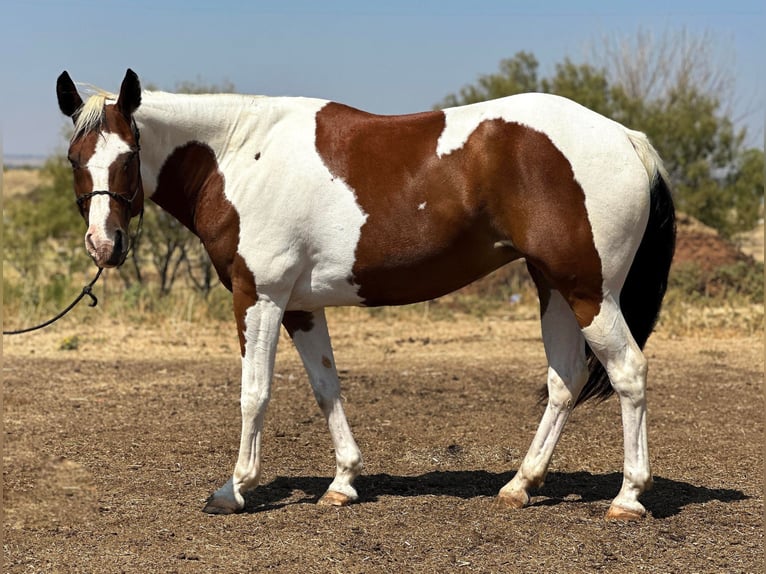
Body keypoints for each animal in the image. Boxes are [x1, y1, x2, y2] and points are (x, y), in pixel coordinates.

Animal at [57, 67, 676, 520]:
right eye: (74, 159)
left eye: (129, 157)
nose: (104, 244)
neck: (238, 153)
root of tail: (627, 138)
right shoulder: (301, 307)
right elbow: (326, 388)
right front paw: (343, 482)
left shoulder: (259, 298)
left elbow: (254, 393)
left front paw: (234, 489)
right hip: (553, 287)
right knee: (564, 379)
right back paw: (519, 485)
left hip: (589, 290)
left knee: (628, 372)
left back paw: (627, 497)